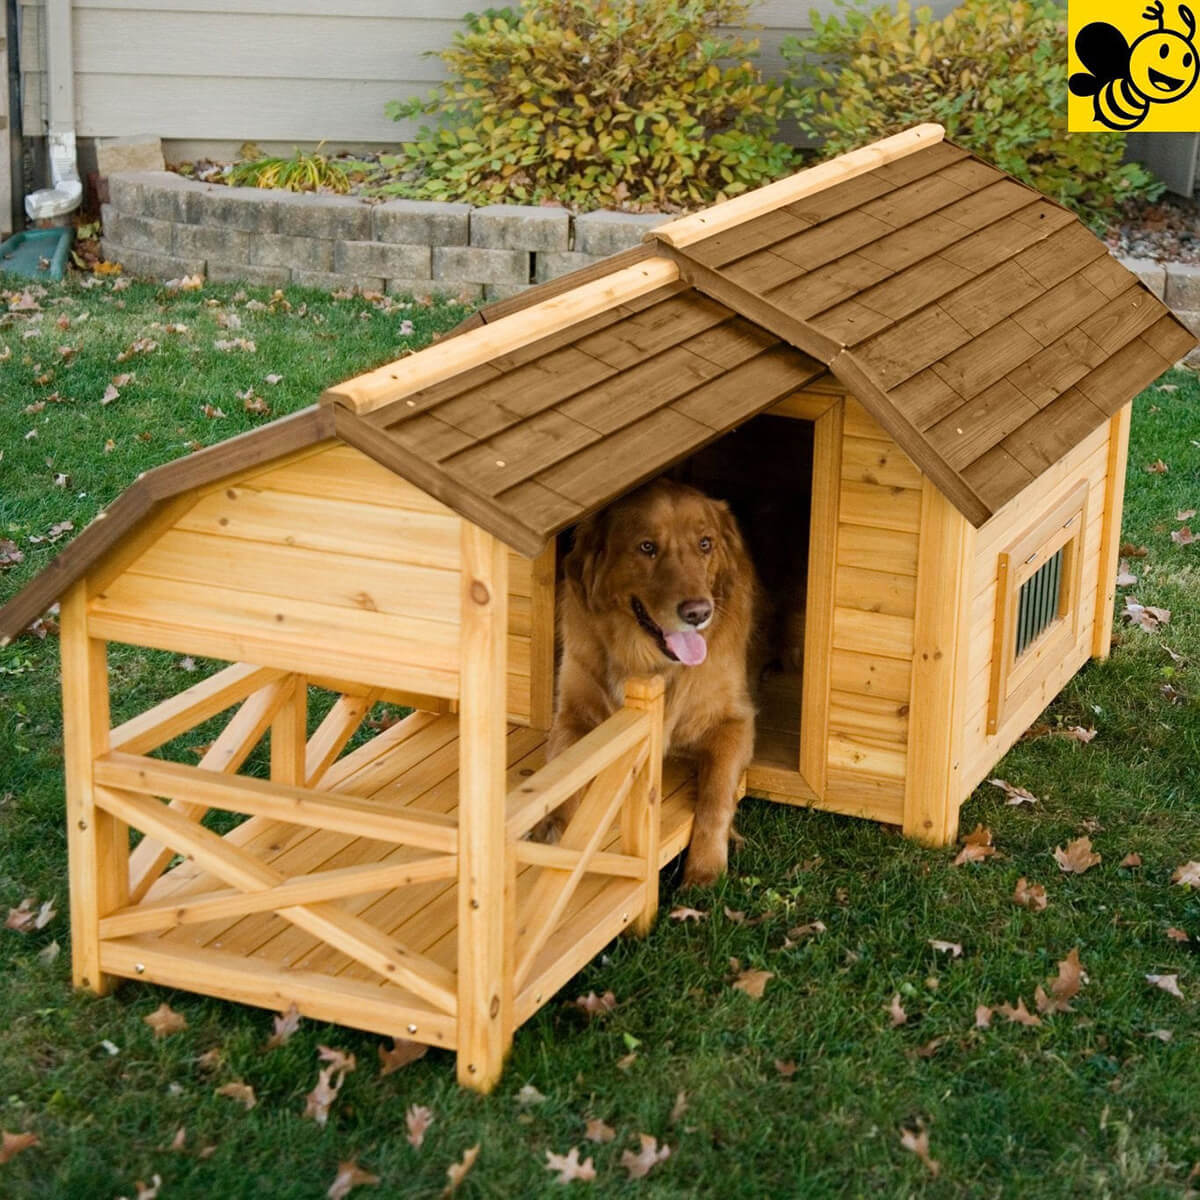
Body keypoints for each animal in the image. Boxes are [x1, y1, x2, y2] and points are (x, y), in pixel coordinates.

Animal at [544, 480, 758, 892]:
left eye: (705, 543)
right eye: (646, 547)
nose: (698, 613)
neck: (647, 662)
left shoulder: (735, 722)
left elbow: (716, 797)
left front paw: (705, 870)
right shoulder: (573, 713)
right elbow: (564, 770)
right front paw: (551, 831)